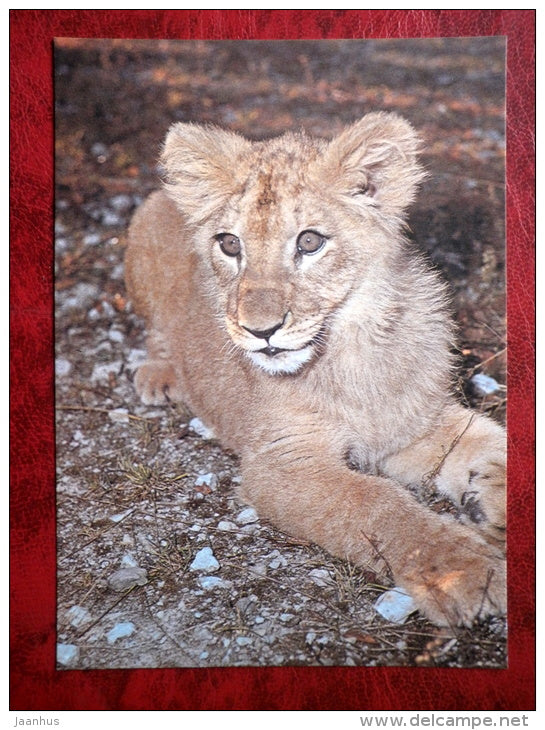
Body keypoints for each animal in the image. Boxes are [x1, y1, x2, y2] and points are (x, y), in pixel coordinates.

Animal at [125, 112, 506, 627]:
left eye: (309, 242)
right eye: (229, 244)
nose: (260, 330)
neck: (350, 351)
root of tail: (165, 195)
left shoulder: (413, 424)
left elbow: (490, 441)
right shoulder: (282, 461)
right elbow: (377, 504)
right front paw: (465, 571)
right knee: (156, 328)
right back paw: (160, 375)